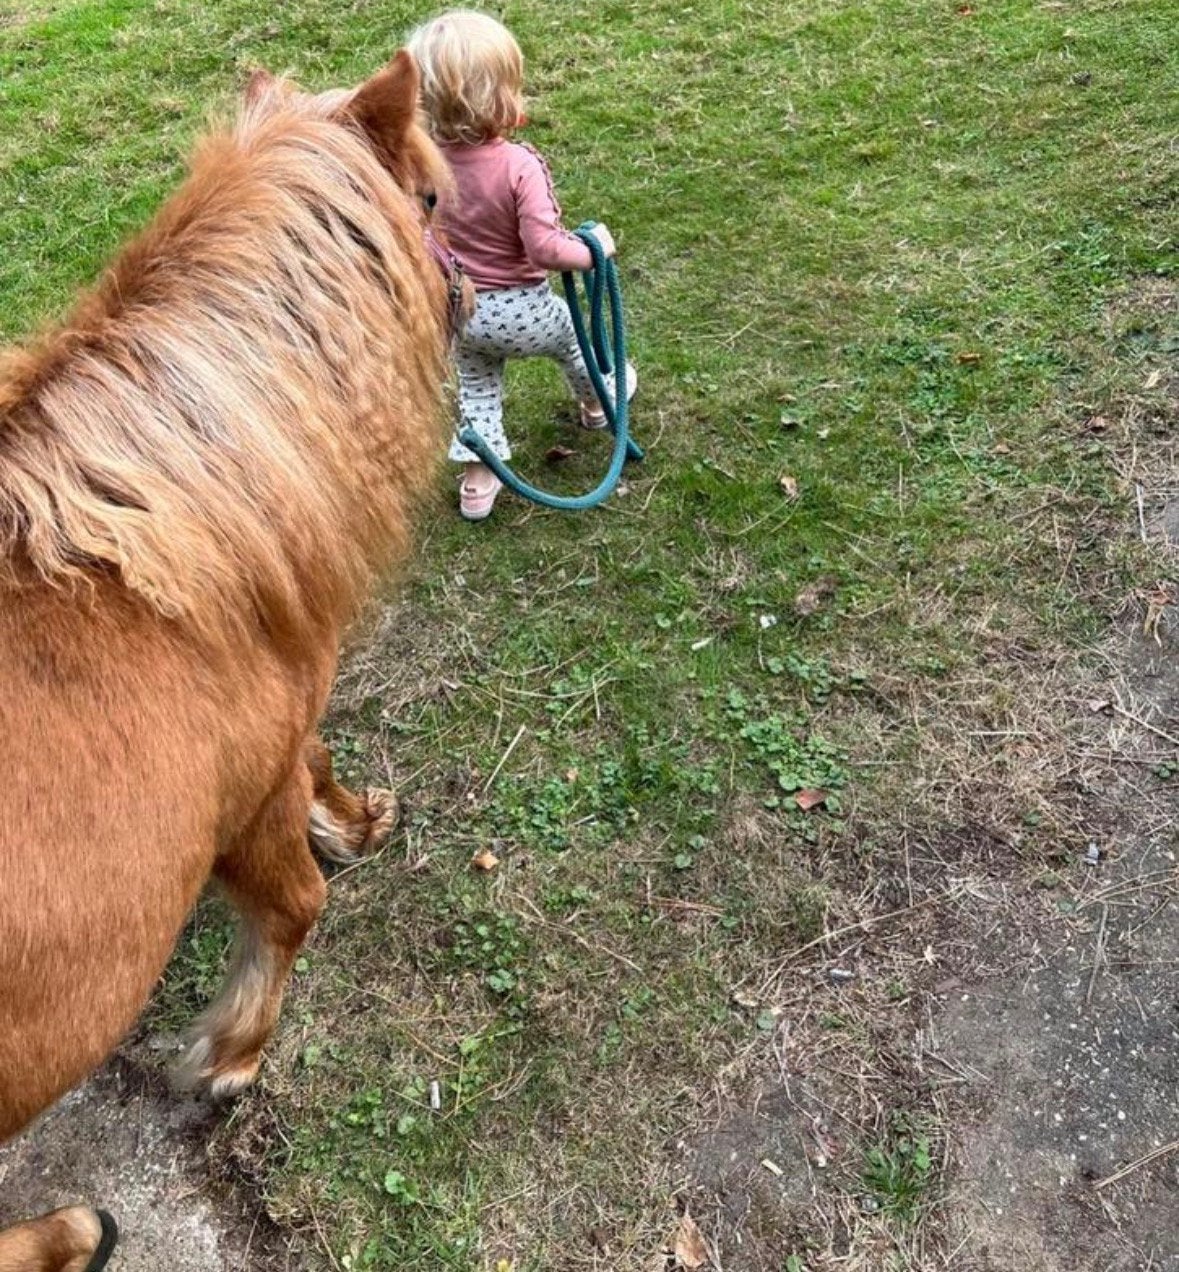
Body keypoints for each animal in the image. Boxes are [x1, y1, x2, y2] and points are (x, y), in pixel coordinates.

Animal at [0, 50, 464, 1270]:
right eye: (432, 196)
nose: (468, 296)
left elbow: (316, 765)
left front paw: (353, 817)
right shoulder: (241, 810)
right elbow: (297, 905)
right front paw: (231, 1056)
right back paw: (67, 1233)